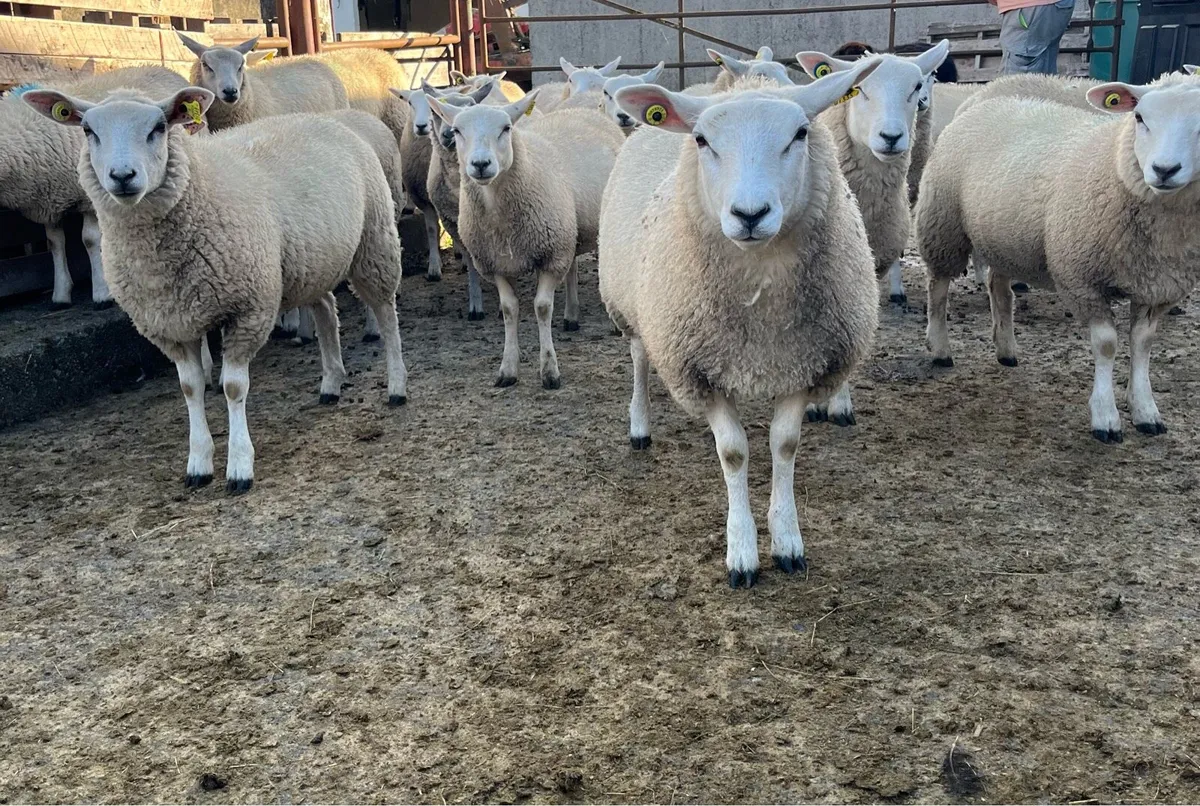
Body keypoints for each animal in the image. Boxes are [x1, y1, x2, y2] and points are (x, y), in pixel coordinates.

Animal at [0, 67, 187, 308]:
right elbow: (54, 243)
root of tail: (164, 68)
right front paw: (61, 293)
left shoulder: (87, 199)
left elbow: (89, 239)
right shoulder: (49, 200)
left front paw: (101, 292)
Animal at [25, 86, 408, 491]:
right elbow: (191, 388)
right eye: (87, 130)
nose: (123, 176)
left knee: (386, 314)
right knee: (325, 311)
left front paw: (239, 466)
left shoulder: (247, 308)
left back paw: (397, 385)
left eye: (159, 127)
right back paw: (331, 383)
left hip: (374, 240)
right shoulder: (169, 324)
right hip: (311, 261)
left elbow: (234, 388)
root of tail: (323, 119)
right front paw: (198, 463)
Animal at [428, 92, 625, 388]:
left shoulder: (551, 257)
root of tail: (586, 112)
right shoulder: (497, 264)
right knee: (572, 267)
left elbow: (542, 308)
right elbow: (509, 309)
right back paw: (571, 316)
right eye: (457, 131)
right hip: (569, 231)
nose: (481, 164)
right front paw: (508, 369)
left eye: (506, 128)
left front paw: (550, 371)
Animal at [598, 62, 881, 588]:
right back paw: (640, 425)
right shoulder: (697, 369)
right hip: (635, 308)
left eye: (800, 133)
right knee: (641, 359)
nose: (750, 214)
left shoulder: (804, 363)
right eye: (703, 141)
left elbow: (783, 444)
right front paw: (742, 552)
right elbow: (733, 453)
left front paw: (787, 541)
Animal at [916, 75, 1200, 443]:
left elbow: (1142, 344)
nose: (1164, 170)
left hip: (1004, 237)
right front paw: (1106, 417)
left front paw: (1146, 410)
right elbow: (1107, 345)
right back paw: (940, 349)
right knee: (938, 286)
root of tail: (984, 101)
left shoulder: (1157, 287)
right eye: (1139, 117)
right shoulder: (1081, 278)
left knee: (998, 288)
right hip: (943, 223)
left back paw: (1006, 349)